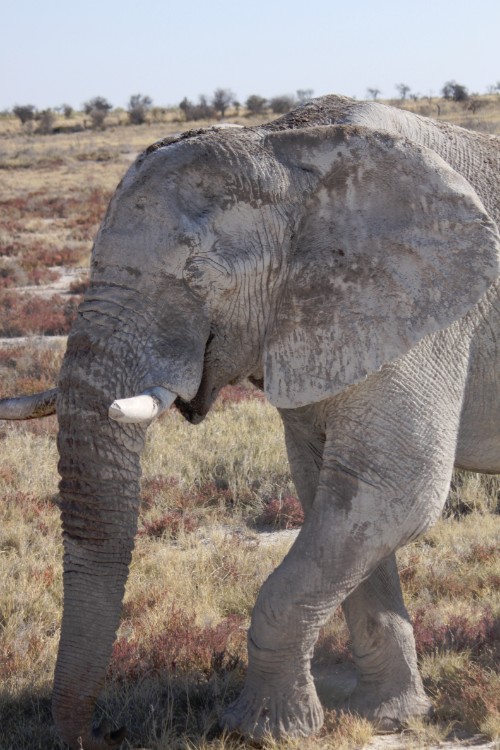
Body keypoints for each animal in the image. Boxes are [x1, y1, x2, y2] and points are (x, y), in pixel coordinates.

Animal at [2, 97, 500, 748]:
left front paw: (262, 731)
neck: (286, 147)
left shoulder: (429, 311)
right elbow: (334, 499)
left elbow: (395, 494)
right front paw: (389, 716)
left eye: (198, 277)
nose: (96, 733)